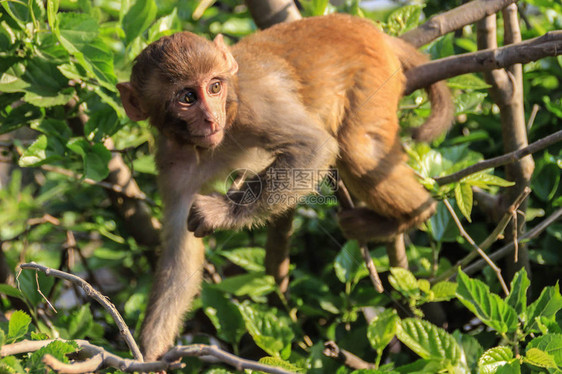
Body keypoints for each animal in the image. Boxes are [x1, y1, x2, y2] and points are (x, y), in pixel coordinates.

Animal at [116, 13, 452, 360]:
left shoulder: (254, 105)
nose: (210, 118)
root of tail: (367, 28)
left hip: (373, 77)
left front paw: (222, 212)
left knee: (358, 151)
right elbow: (179, 252)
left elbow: (313, 146)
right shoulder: (173, 163)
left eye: (214, 86)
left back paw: (414, 215)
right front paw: (148, 353)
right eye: (187, 98)